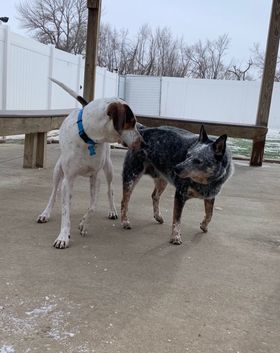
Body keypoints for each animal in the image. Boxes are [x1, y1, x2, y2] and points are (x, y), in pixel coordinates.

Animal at [37, 77, 141, 248]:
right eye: (131, 122)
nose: (142, 142)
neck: (88, 138)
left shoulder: (95, 177)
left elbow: (93, 206)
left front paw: (83, 225)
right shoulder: (68, 180)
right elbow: (65, 211)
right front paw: (63, 236)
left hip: (108, 168)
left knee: (110, 190)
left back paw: (112, 210)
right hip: (58, 170)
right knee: (54, 193)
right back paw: (45, 213)